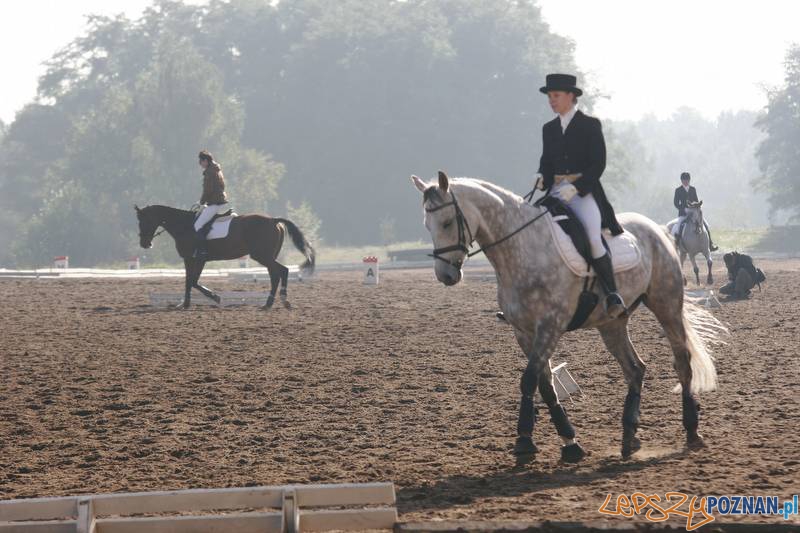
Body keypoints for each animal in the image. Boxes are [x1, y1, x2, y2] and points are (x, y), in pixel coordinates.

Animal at [136, 206, 314, 310]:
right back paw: (274, 302)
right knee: (278, 273)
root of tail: (273, 220)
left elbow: (192, 281)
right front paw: (185, 304)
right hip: (268, 256)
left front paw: (214, 297)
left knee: (280, 272)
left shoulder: (195, 259)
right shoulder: (193, 259)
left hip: (262, 256)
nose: (144, 244)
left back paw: (276, 301)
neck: (184, 226)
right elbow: (190, 281)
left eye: (143, 220)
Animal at [412, 172, 724, 460]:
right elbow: (545, 384)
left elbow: (529, 380)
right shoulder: (524, 332)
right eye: (426, 225)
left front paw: (525, 441)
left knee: (682, 362)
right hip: (612, 323)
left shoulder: (550, 326)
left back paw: (692, 431)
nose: (446, 276)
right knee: (635, 369)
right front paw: (568, 442)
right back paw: (629, 436)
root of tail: (656, 229)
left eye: (447, 222)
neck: (523, 249)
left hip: (666, 304)